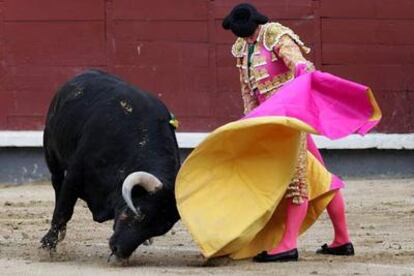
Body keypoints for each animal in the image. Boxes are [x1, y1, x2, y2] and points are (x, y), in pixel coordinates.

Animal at [41, 70, 181, 260]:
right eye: (140, 214)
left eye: (158, 230)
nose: (120, 251)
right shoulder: (75, 174)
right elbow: (64, 209)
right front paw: (48, 244)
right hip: (51, 151)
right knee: (57, 183)